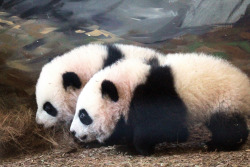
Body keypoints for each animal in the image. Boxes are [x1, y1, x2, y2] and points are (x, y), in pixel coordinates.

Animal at [70, 54, 250, 156]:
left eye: (83, 115)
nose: (72, 132)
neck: (129, 85)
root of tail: (245, 83)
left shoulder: (155, 96)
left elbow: (170, 128)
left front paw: (135, 148)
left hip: (225, 98)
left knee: (228, 126)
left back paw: (220, 144)